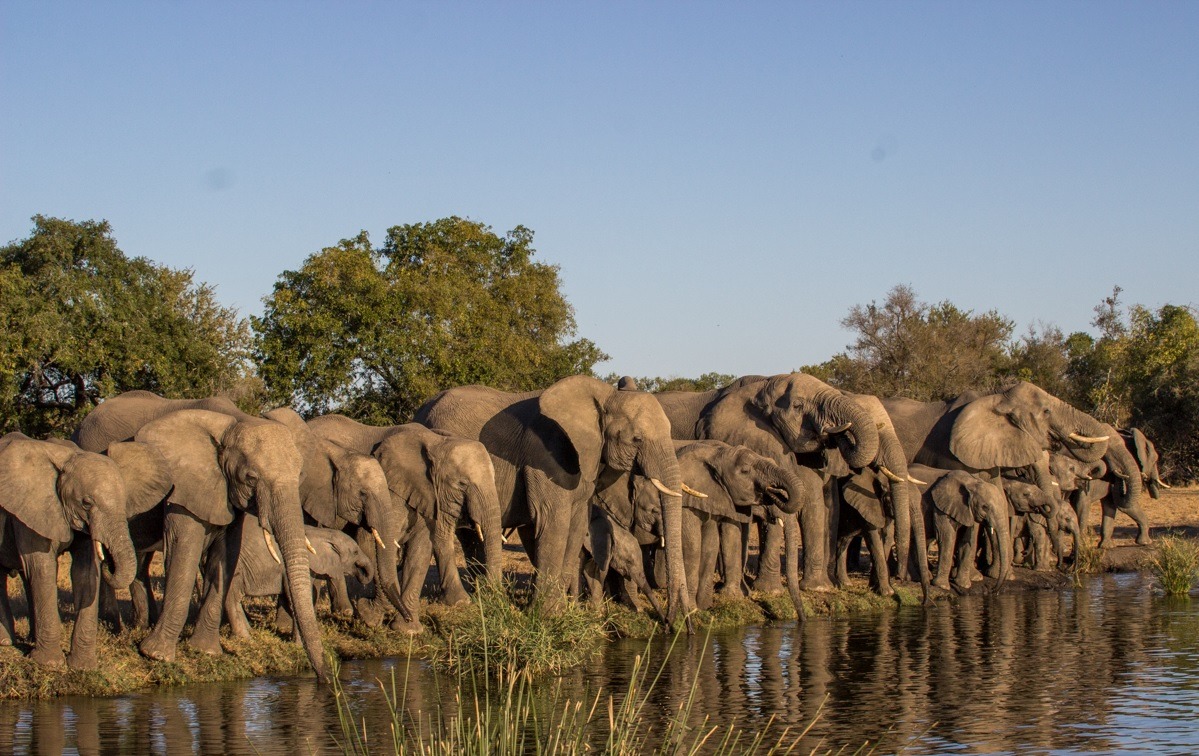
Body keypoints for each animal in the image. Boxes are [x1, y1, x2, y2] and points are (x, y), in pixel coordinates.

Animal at [0, 433, 169, 669]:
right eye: (86, 503)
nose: (109, 561)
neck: (67, 459)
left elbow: (86, 573)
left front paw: (83, 667)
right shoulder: (33, 507)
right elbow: (42, 567)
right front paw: (50, 665)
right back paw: (6, 643)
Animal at [305, 415, 503, 624]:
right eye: (462, 484)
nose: (487, 593)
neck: (436, 442)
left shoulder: (425, 492)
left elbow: (424, 545)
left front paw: (407, 624)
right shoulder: (391, 488)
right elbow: (373, 541)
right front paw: (373, 615)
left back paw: (343, 611)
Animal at [414, 375, 694, 624]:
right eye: (636, 439)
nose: (672, 623)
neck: (604, 396)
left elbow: (577, 525)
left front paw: (560, 611)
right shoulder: (545, 454)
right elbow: (554, 522)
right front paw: (546, 615)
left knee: (471, 536)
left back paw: (481, 595)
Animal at [654, 373, 880, 593]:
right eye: (797, 405)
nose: (838, 431)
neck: (764, 385)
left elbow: (811, 504)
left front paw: (813, 589)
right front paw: (767, 591)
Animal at [907, 463, 1013, 592]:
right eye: (985, 507)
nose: (992, 590)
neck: (972, 483)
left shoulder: (967, 510)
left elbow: (967, 540)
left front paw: (963, 585)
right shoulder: (941, 507)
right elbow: (946, 537)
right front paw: (942, 586)